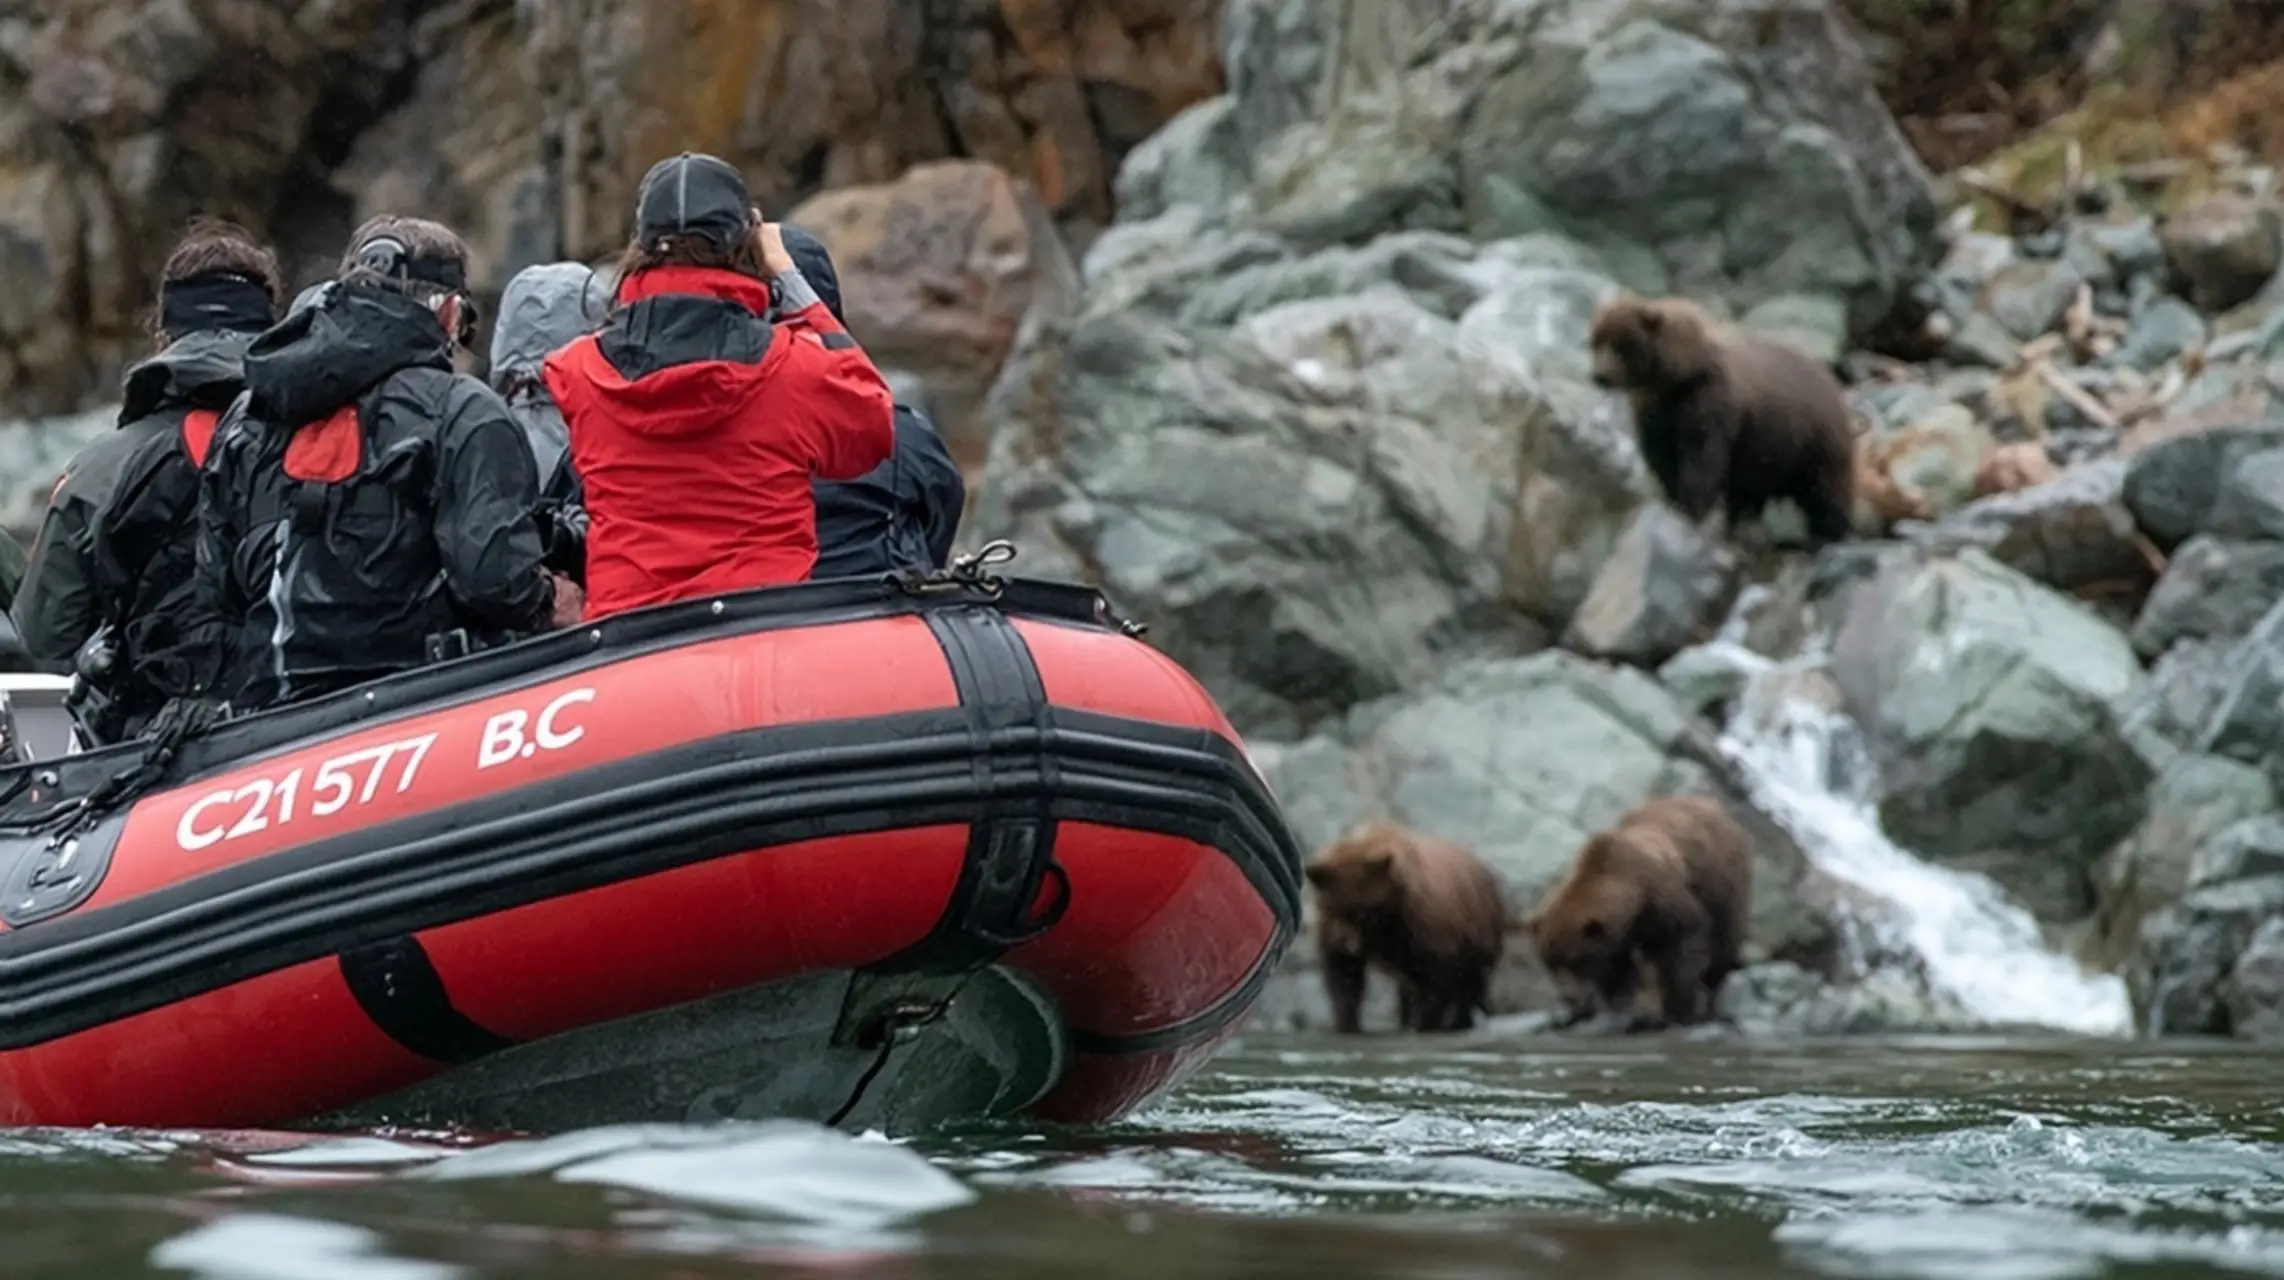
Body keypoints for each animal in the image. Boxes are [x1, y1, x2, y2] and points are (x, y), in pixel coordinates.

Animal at [1303, 820, 1505, 1034]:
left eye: (1363, 910)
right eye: (1329, 906)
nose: (1345, 943)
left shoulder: (1422, 923)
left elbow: (1436, 975)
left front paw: (1427, 1022)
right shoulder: (1332, 929)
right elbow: (1344, 975)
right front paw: (1348, 1023)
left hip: (1480, 928)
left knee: (1471, 979)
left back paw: (1457, 1021)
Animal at [1523, 794, 1752, 1030]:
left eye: (1576, 961)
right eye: (1550, 963)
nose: (1569, 999)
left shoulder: (1669, 904)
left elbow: (1682, 951)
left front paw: (1678, 1011)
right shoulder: (1619, 937)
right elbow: (1618, 969)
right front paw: (1620, 1008)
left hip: (1725, 885)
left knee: (1724, 942)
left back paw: (1710, 1005)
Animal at [1589, 295, 1857, 548]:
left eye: (1621, 345)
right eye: (1595, 340)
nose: (1599, 375)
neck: (1676, 380)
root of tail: (1835, 384)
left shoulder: (1708, 406)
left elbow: (1702, 460)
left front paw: (1691, 508)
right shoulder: (1655, 415)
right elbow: (1661, 457)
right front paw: (1673, 499)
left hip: (1813, 440)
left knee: (1824, 490)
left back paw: (1826, 536)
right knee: (1751, 492)